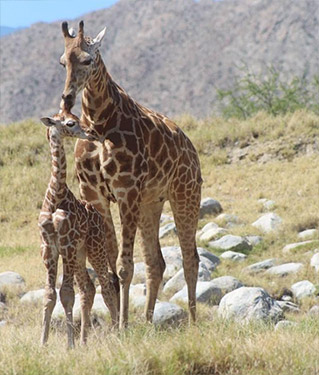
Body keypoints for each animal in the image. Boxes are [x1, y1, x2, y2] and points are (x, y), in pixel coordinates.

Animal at [39, 111, 119, 350]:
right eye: (70, 122)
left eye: (75, 116)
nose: (91, 133)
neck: (55, 196)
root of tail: (99, 217)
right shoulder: (49, 247)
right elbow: (49, 294)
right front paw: (43, 342)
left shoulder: (66, 244)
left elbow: (66, 293)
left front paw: (69, 344)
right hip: (81, 253)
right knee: (89, 289)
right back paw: (84, 341)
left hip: (95, 247)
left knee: (107, 286)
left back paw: (118, 333)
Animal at [59, 20, 202, 328]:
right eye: (62, 61)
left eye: (87, 60)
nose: (67, 97)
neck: (99, 123)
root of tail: (191, 148)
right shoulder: (95, 195)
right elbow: (109, 269)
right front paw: (116, 326)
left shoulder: (126, 191)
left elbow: (124, 266)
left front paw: (123, 326)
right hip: (151, 203)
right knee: (156, 262)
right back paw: (148, 323)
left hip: (185, 194)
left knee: (190, 258)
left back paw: (193, 322)